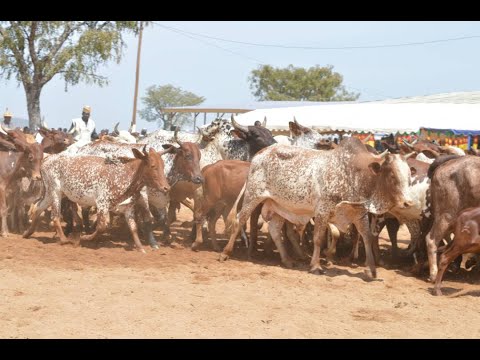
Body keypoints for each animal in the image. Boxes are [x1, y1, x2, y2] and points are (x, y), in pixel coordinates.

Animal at [219, 138, 414, 278]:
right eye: (392, 175)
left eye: (409, 175)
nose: (408, 203)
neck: (354, 173)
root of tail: (260, 153)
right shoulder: (322, 211)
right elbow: (319, 238)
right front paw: (316, 266)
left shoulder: (359, 213)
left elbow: (366, 237)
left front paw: (371, 270)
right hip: (253, 196)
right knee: (240, 221)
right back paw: (225, 253)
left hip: (278, 205)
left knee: (274, 230)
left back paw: (287, 259)